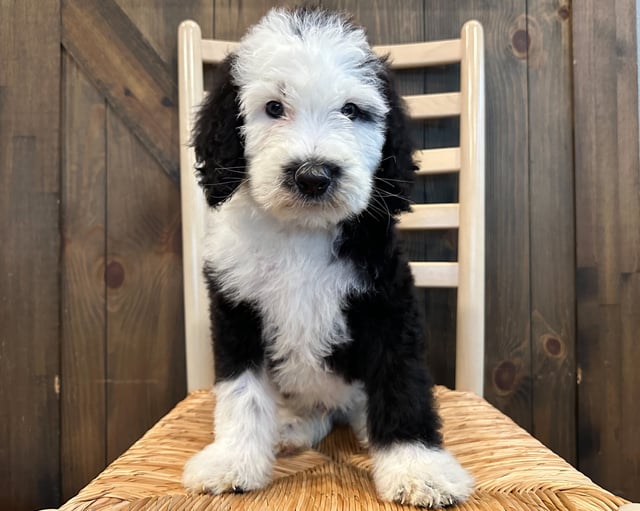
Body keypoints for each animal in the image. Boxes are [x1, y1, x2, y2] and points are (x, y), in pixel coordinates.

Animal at [182, 7, 472, 508]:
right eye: (273, 108)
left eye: (352, 110)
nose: (313, 176)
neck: (303, 232)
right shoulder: (237, 308)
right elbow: (241, 391)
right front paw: (234, 460)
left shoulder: (387, 303)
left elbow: (401, 381)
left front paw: (418, 467)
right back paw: (290, 427)